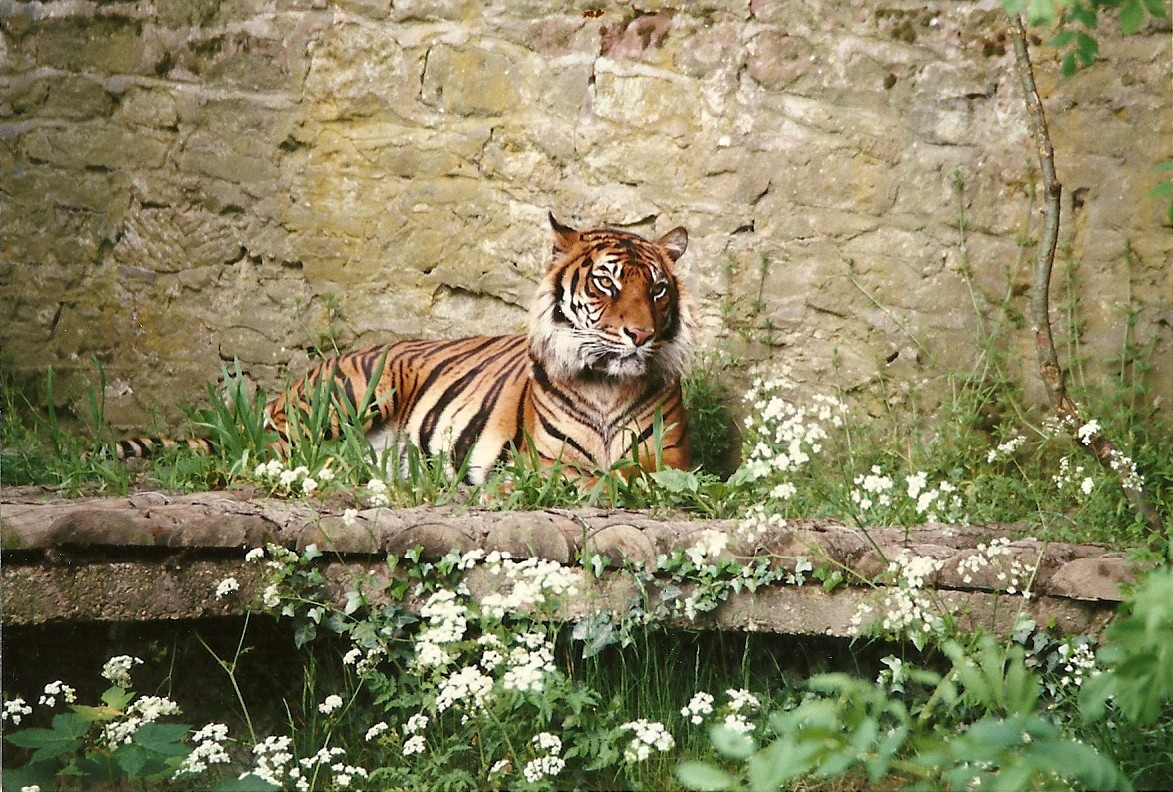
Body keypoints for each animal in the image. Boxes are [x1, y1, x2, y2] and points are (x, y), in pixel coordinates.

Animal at [110, 213, 695, 484]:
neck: (608, 386)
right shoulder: (549, 462)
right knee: (261, 452)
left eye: (657, 290)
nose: (640, 335)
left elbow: (634, 472)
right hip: (353, 393)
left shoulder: (669, 456)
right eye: (606, 283)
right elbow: (595, 475)